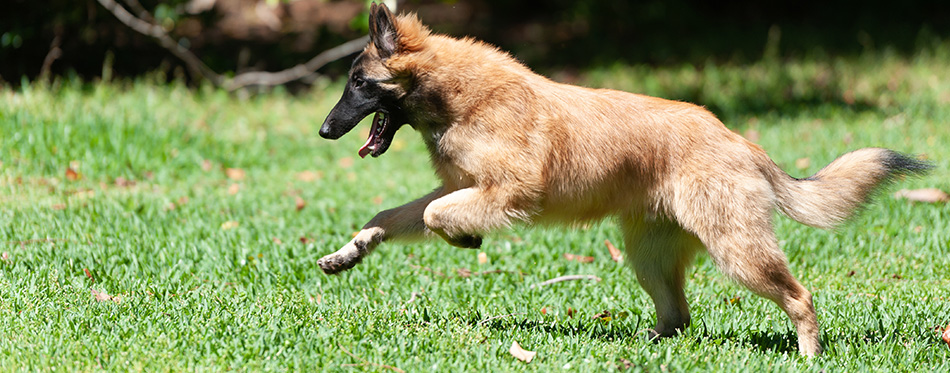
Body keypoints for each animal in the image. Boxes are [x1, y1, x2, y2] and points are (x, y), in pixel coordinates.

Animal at [316, 3, 932, 358]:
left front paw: (464, 238)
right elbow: (393, 216)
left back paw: (807, 355)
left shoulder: (508, 192)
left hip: (738, 252)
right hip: (650, 257)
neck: (459, 97)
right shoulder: (462, 187)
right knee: (678, 318)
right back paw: (642, 345)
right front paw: (350, 252)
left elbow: (430, 215)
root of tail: (738, 140)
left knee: (799, 298)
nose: (323, 131)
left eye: (358, 82)